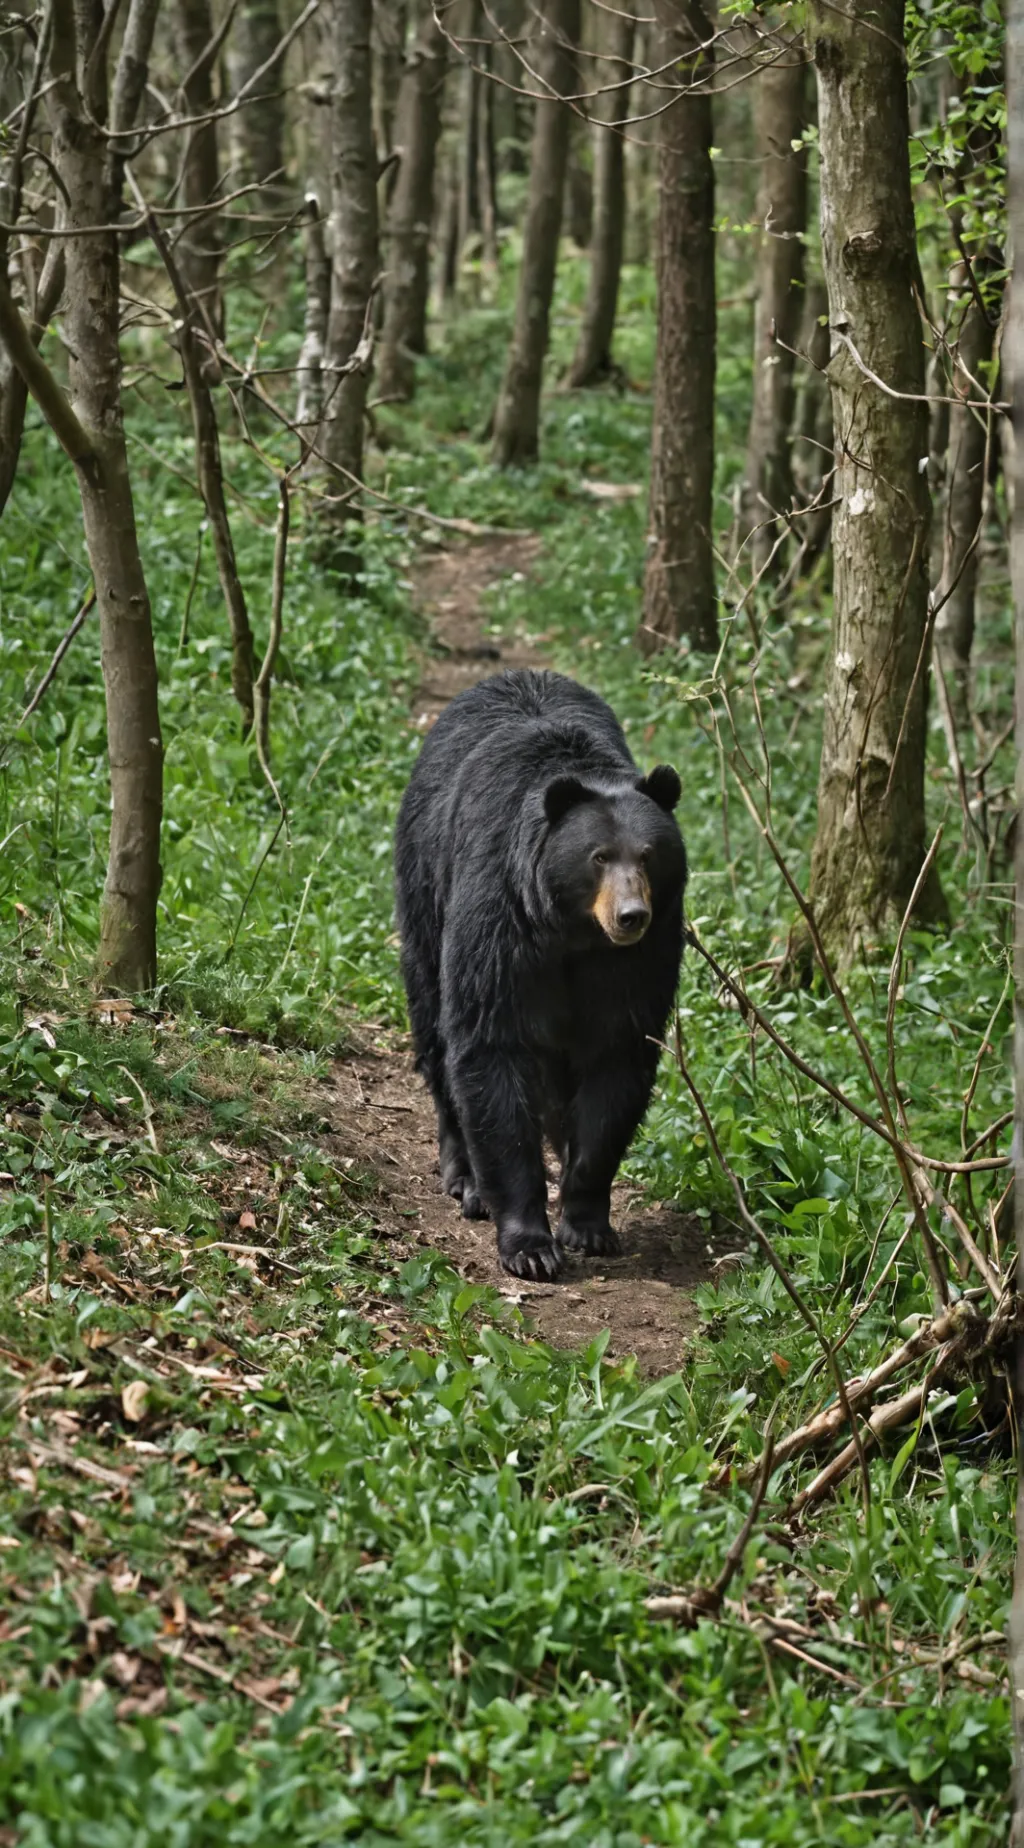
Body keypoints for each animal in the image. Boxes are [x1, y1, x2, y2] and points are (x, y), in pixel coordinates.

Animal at [394, 668, 686, 1281]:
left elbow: (616, 1064)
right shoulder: (500, 923)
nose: (631, 915)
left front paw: (588, 1222)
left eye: (649, 853)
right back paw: (465, 1178)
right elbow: (490, 1048)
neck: (571, 931)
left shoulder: (637, 962)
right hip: (425, 895)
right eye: (599, 855)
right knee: (435, 1026)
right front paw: (529, 1245)